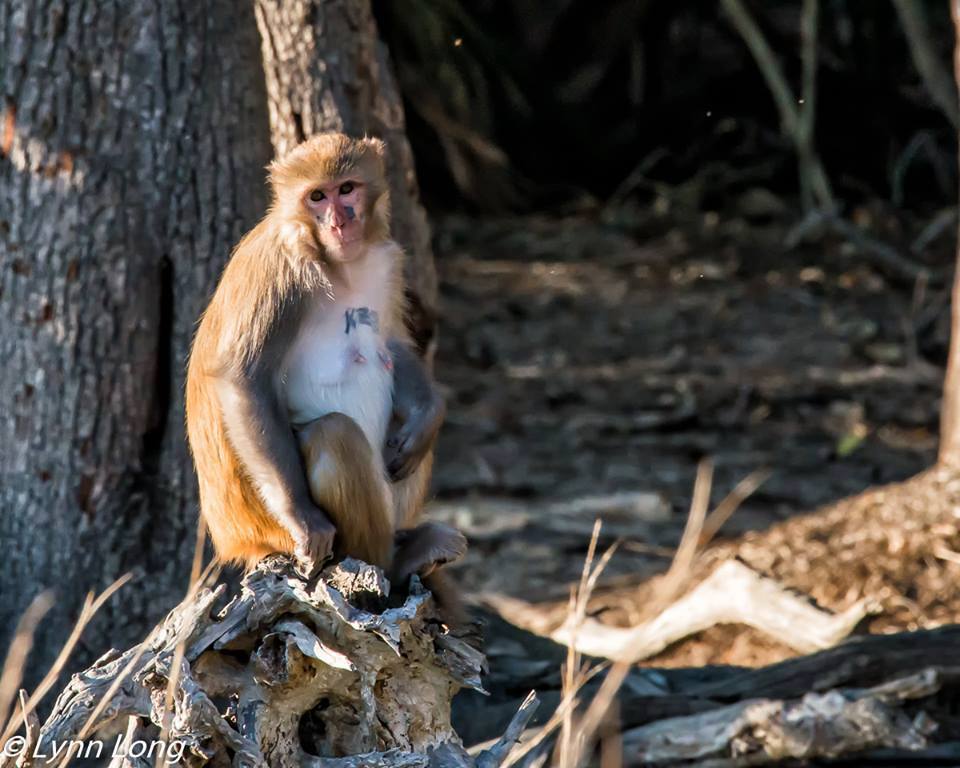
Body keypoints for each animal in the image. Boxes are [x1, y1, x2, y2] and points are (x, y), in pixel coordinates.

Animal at [187, 134, 464, 600]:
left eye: (346, 189)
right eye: (317, 197)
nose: (339, 223)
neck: (338, 264)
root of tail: (238, 539)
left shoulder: (385, 261)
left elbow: (392, 342)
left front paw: (429, 414)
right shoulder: (281, 272)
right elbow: (246, 379)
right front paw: (303, 516)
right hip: (269, 528)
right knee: (333, 434)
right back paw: (395, 560)